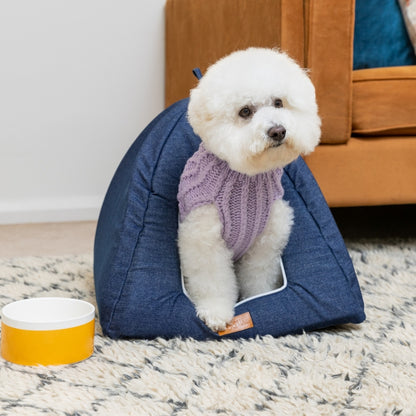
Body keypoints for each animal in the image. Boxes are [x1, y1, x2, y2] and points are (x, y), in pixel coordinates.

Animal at [177, 46, 320, 332]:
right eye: (245, 111)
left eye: (279, 102)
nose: (278, 131)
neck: (247, 180)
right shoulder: (203, 239)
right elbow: (212, 279)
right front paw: (216, 313)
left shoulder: (265, 243)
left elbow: (258, 278)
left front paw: (261, 300)